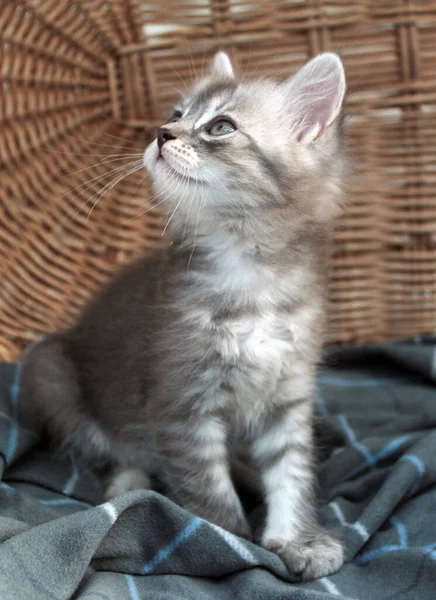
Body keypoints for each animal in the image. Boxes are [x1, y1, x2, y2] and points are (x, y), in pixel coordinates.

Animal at [20, 52, 348, 580]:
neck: (249, 278)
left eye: (220, 126)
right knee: (109, 449)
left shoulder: (289, 394)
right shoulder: (180, 401)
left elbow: (292, 471)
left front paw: (297, 538)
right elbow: (209, 491)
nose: (160, 134)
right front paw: (231, 543)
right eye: (175, 114)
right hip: (47, 370)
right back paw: (128, 484)